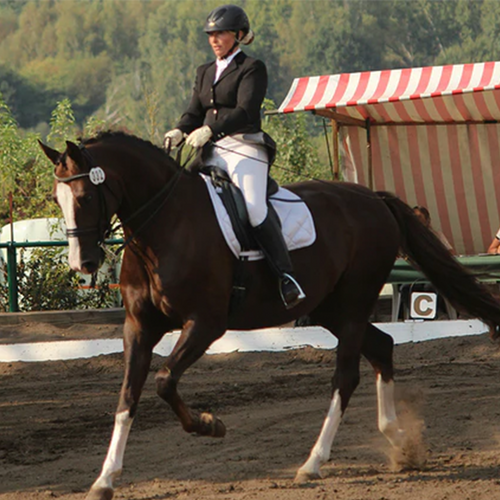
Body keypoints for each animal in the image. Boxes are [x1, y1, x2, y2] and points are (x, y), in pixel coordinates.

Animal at [40, 132, 500, 500]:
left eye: (84, 197)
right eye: (58, 200)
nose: (82, 264)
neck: (165, 226)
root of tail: (374, 199)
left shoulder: (206, 324)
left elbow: (165, 380)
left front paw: (210, 425)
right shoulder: (139, 327)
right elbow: (128, 396)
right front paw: (105, 479)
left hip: (352, 305)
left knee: (346, 377)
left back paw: (314, 463)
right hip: (328, 308)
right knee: (383, 346)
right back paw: (400, 441)